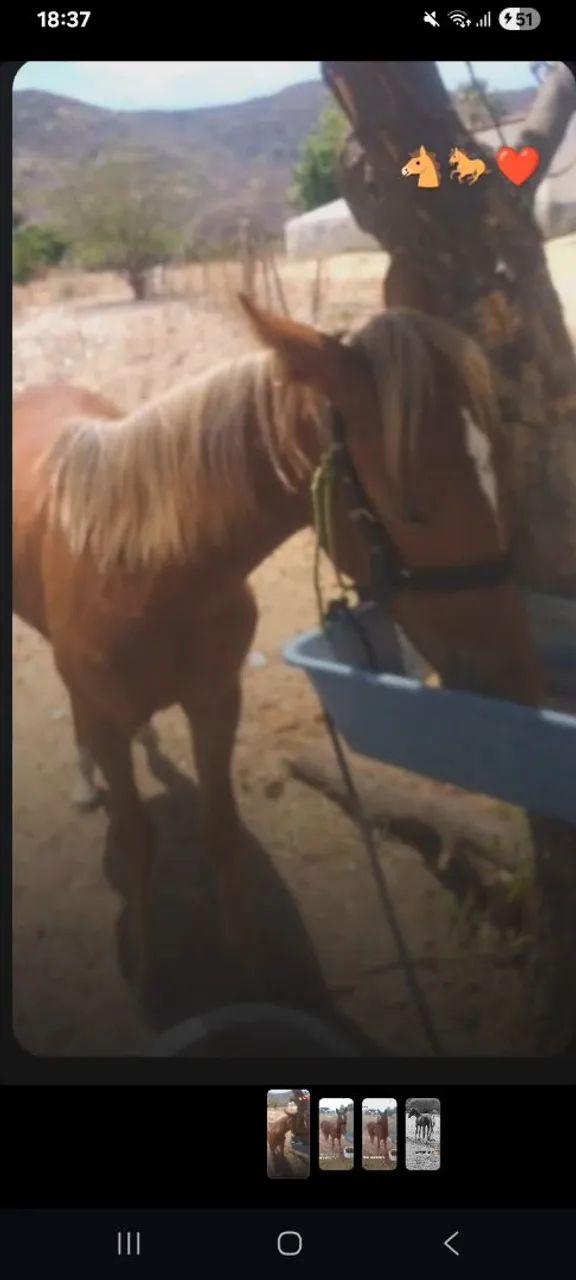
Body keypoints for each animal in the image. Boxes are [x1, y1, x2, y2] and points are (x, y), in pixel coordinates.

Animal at [13, 281, 544, 978]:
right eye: (412, 509)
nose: (514, 674)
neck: (144, 577)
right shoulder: (108, 723)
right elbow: (135, 841)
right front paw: (152, 965)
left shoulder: (217, 701)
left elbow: (220, 829)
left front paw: (247, 960)